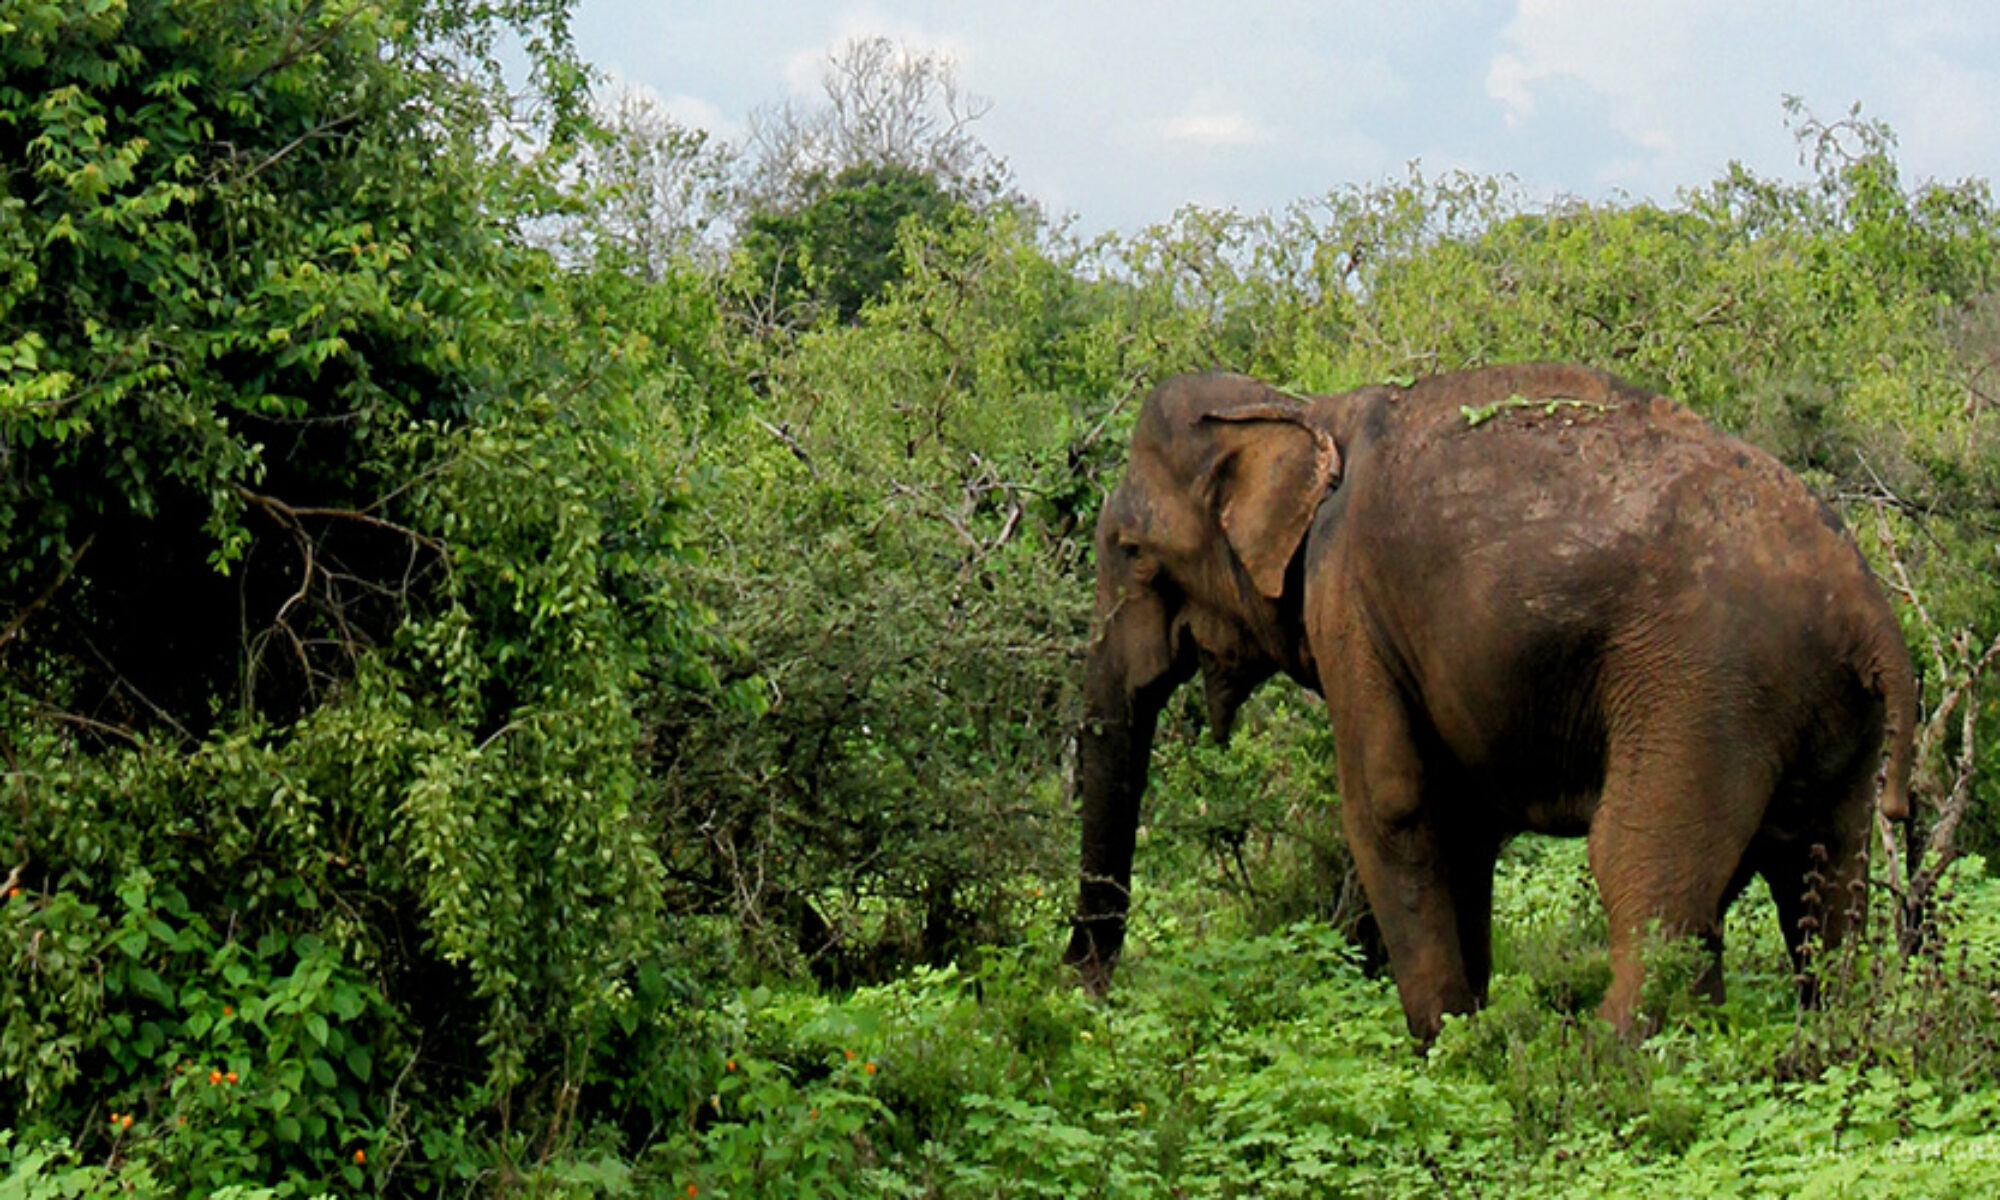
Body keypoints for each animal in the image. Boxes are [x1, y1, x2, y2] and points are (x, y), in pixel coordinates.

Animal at [1064, 366, 1920, 1040]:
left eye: (1132, 552)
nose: (1084, 984)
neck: (1303, 408)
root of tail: (1873, 614)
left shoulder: (1347, 600)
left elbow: (1391, 803)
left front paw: (1446, 1047)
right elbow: (1463, 822)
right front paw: (1472, 1030)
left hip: (1704, 690)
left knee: (1641, 861)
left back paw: (1599, 1056)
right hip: (1822, 714)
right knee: (1822, 872)